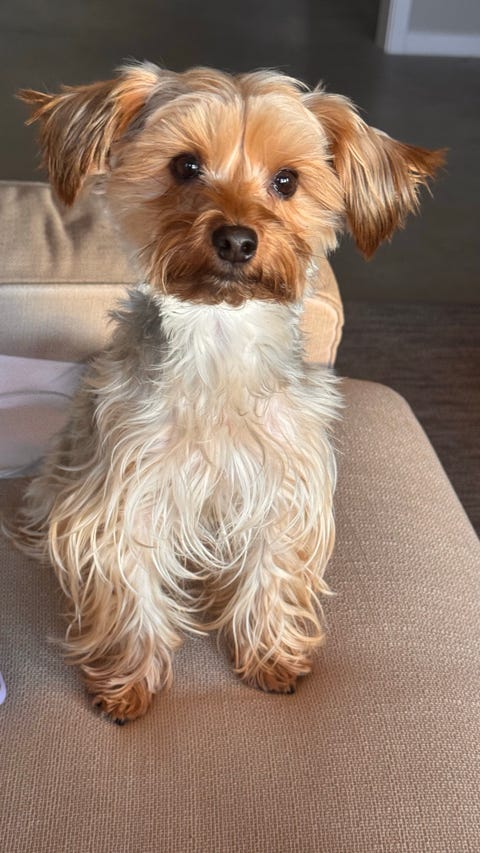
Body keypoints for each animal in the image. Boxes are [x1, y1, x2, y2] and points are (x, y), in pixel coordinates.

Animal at [12, 63, 444, 721]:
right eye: (185, 166)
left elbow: (272, 569)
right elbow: (132, 583)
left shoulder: (283, 485)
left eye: (287, 181)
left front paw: (271, 657)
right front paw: (128, 681)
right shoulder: (126, 490)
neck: (220, 338)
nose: (238, 240)